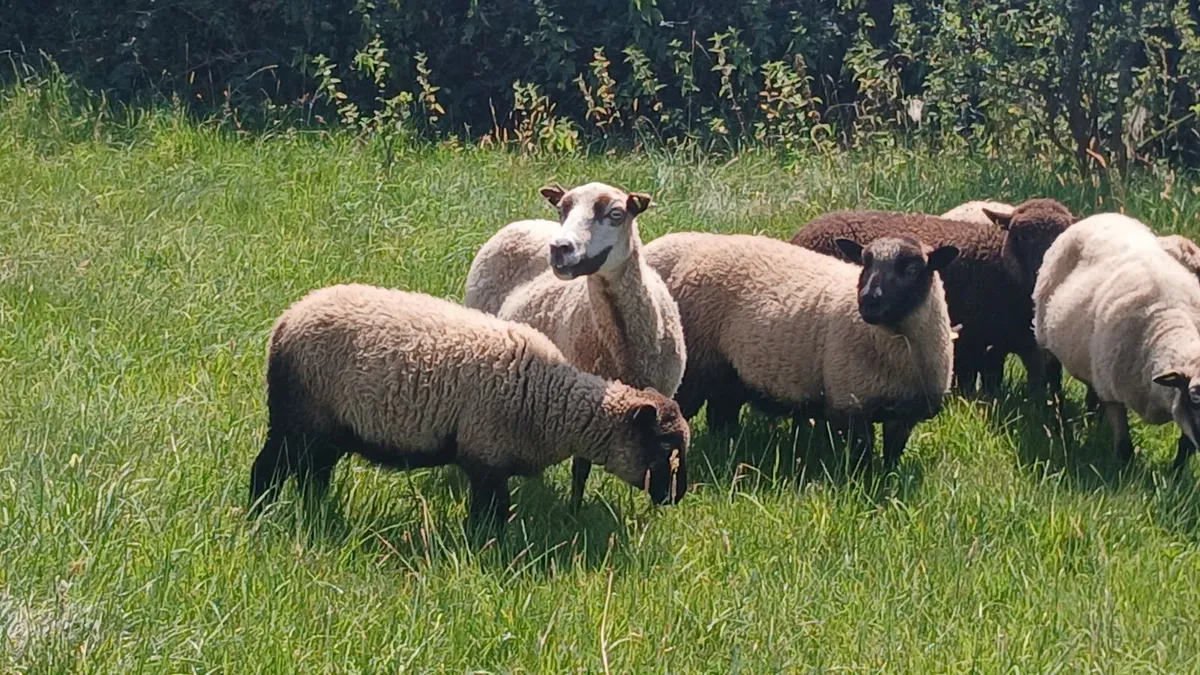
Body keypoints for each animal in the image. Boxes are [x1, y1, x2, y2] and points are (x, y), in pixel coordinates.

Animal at [250, 284, 689, 529]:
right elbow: (489, 514)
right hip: (296, 419)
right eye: (665, 445)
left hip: (327, 430)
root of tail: (286, 321)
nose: (678, 496)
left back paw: (318, 512)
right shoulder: (485, 457)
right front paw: (488, 546)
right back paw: (258, 513)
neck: (550, 402)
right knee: (267, 468)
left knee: (314, 474)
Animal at [464, 182, 686, 508]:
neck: (625, 347)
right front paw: (575, 509)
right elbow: (581, 467)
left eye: (616, 214)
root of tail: (523, 222)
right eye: (562, 209)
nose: (559, 248)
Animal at [643, 232, 958, 467]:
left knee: (722, 414)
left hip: (730, 373)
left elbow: (893, 454)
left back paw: (728, 448)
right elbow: (862, 456)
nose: (869, 300)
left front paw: (887, 479)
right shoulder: (850, 402)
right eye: (865, 264)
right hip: (697, 365)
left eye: (912, 269)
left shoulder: (905, 414)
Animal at [791, 198, 1075, 397]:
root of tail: (802, 233)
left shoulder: (1004, 343)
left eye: (1061, 237)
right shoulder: (972, 340)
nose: (1041, 271)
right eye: (1019, 236)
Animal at [1034, 213, 1200, 469]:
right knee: (1054, 380)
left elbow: (1185, 447)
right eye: (1195, 398)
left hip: (1094, 358)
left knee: (1092, 393)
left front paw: (1175, 473)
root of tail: (1103, 215)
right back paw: (1059, 419)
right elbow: (1124, 448)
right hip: (1046, 335)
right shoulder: (1114, 395)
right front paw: (1125, 474)